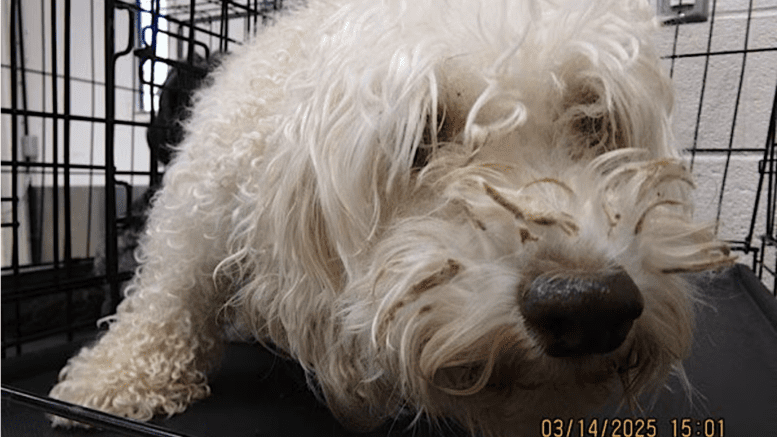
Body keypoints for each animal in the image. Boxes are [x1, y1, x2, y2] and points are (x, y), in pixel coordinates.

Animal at [50, 0, 732, 434]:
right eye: (423, 136)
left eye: (594, 119)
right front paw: (108, 380)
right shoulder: (196, 206)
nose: (587, 305)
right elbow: (167, 297)